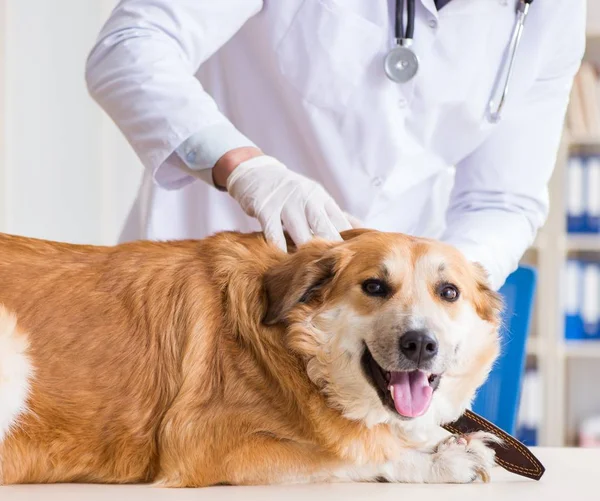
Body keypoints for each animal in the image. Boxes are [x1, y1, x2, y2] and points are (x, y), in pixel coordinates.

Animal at [0, 229, 502, 484]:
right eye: (374, 286)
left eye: (448, 292)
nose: (420, 344)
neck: (297, 355)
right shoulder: (203, 444)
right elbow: (348, 455)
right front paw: (438, 461)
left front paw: (440, 441)